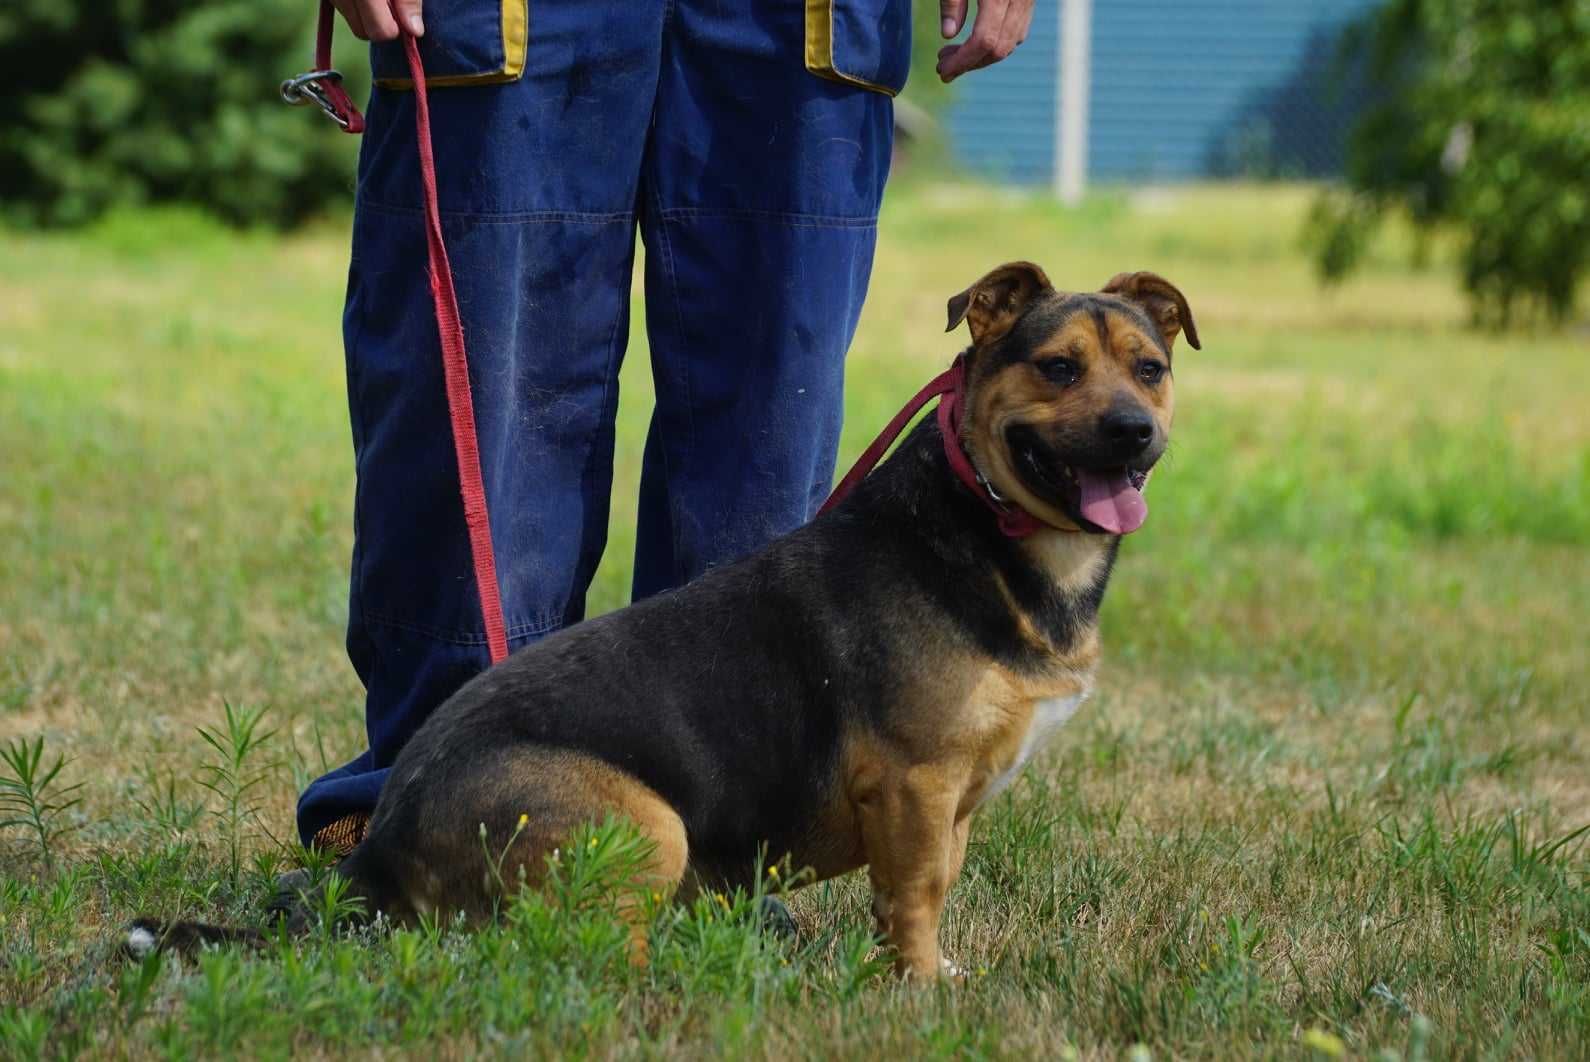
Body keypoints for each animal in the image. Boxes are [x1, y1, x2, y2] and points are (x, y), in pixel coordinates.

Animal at [130, 265, 1195, 979]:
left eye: (1150, 368)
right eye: (1057, 369)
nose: (1134, 434)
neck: (994, 523)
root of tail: (378, 851)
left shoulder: (952, 799)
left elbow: (923, 889)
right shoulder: (915, 783)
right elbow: (919, 895)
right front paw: (921, 992)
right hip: (649, 825)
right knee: (576, 952)